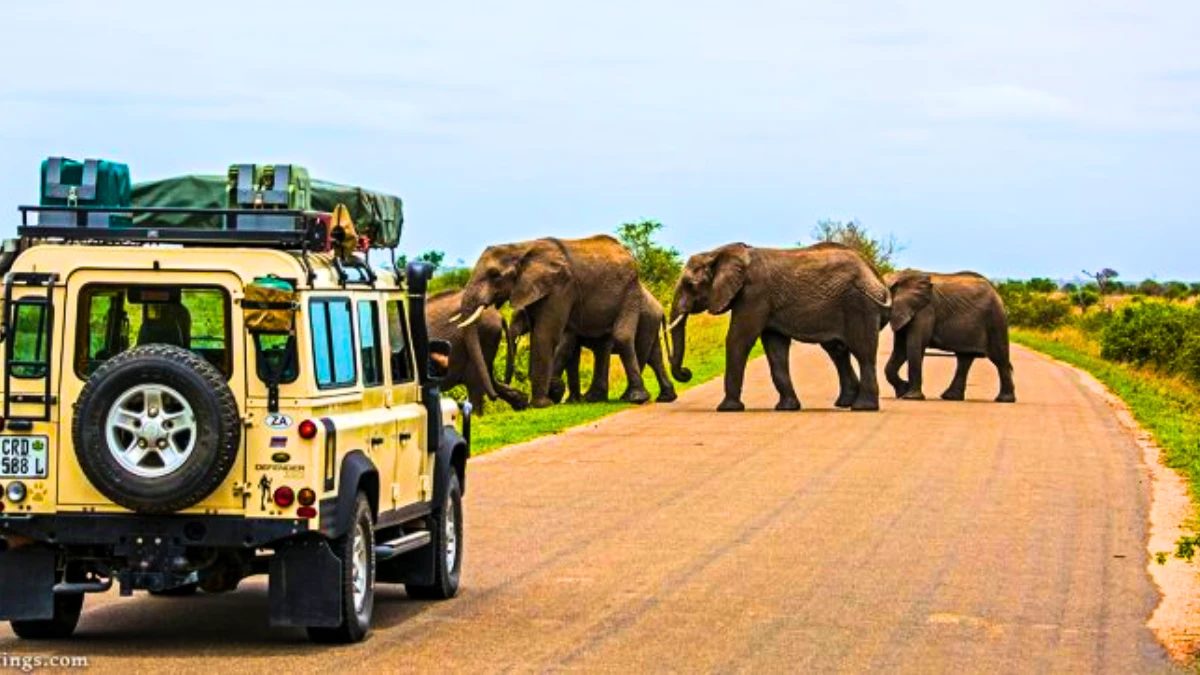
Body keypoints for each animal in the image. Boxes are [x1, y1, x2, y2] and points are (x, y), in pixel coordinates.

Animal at [453, 234, 652, 408]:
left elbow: (544, 335)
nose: (494, 397)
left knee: (622, 336)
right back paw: (594, 399)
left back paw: (636, 398)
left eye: (495, 275)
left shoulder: (560, 287)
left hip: (630, 290)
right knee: (602, 345)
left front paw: (542, 403)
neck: (521, 248)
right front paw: (548, 398)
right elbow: (538, 335)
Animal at [504, 281, 676, 401]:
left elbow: (566, 348)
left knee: (639, 352)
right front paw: (571, 400)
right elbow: (573, 354)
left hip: (645, 320)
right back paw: (666, 397)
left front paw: (557, 392)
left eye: (521, 316)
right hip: (650, 323)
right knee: (654, 357)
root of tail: (660, 307)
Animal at [667, 241, 892, 410]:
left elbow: (738, 340)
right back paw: (845, 403)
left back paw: (863, 407)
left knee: (863, 353)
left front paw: (727, 408)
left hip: (861, 304)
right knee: (838, 351)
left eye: (690, 285)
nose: (687, 372)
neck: (717, 253)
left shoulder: (754, 294)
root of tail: (876, 275)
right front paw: (787, 407)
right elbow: (775, 349)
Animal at [883, 269, 1012, 403]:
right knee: (964, 358)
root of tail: (996, 291)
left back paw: (1004, 400)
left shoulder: (926, 310)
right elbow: (901, 349)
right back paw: (951, 397)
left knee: (999, 358)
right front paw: (902, 391)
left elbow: (915, 346)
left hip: (996, 320)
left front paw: (910, 397)